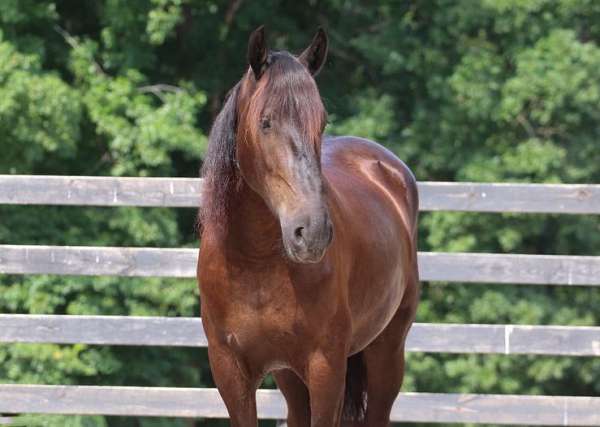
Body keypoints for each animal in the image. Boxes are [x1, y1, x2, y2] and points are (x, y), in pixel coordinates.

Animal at [199, 26, 420, 427]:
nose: (312, 232)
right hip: (291, 377)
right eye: (266, 121)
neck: (253, 262)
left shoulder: (325, 369)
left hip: (387, 353)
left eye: (322, 122)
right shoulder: (230, 371)